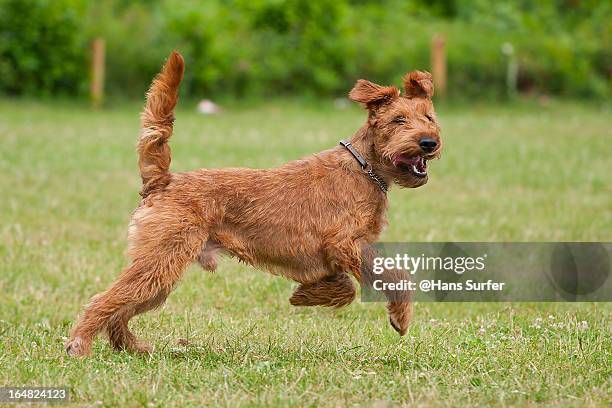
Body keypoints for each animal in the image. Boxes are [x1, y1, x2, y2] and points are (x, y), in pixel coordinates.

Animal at [65, 51, 440, 356]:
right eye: (398, 120)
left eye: (430, 117)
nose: (429, 142)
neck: (364, 167)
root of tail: (163, 181)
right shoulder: (345, 242)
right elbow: (395, 275)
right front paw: (400, 317)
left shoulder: (337, 251)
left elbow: (346, 286)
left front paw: (307, 295)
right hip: (161, 259)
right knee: (105, 300)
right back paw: (79, 345)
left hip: (161, 270)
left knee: (122, 307)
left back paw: (130, 346)